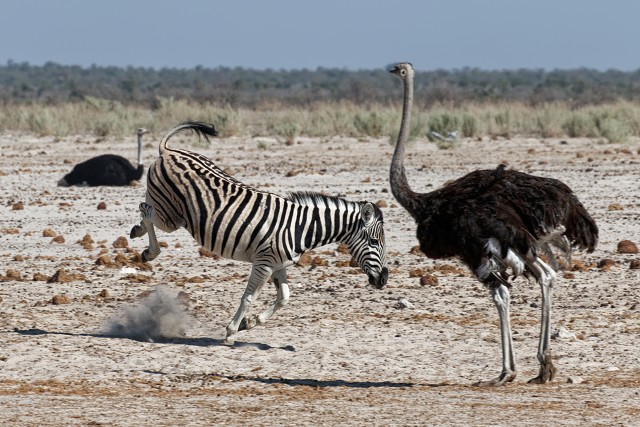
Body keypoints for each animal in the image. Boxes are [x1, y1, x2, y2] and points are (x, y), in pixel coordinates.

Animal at [130, 121, 389, 344]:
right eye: (374, 241)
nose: (383, 280)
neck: (301, 227)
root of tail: (168, 151)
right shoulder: (263, 264)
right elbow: (248, 297)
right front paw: (231, 331)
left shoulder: (279, 265)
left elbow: (284, 297)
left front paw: (251, 322)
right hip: (172, 217)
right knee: (145, 210)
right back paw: (149, 251)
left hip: (165, 205)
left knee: (146, 208)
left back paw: (138, 232)